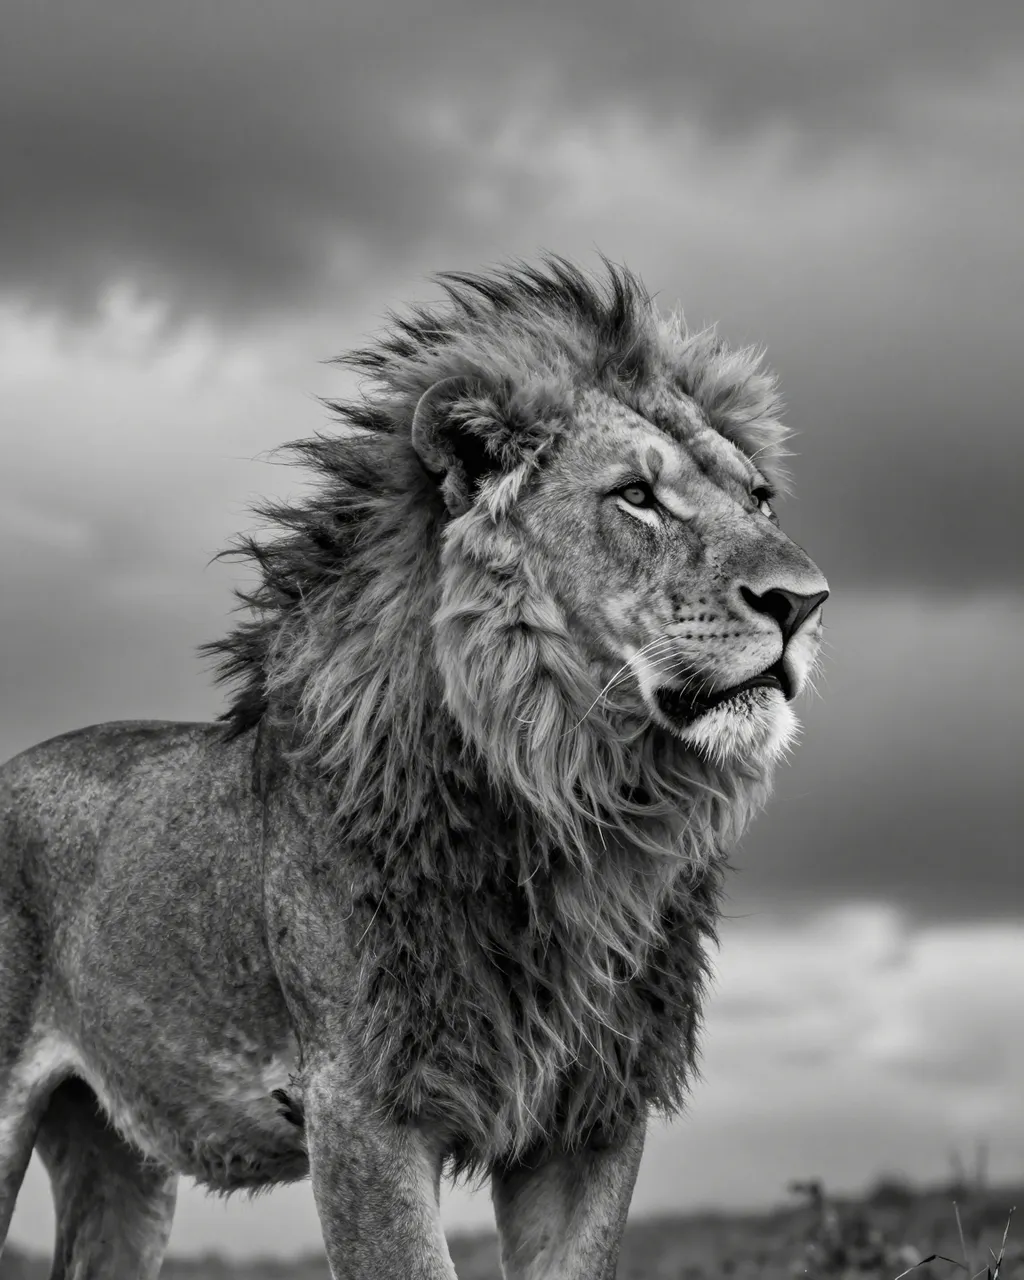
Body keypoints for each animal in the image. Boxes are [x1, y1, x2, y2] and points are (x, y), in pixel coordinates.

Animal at [0, 257, 828, 1279]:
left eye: (759, 499)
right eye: (637, 496)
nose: (805, 601)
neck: (579, 804)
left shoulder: (592, 1116)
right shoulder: (361, 1109)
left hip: (116, 1153)